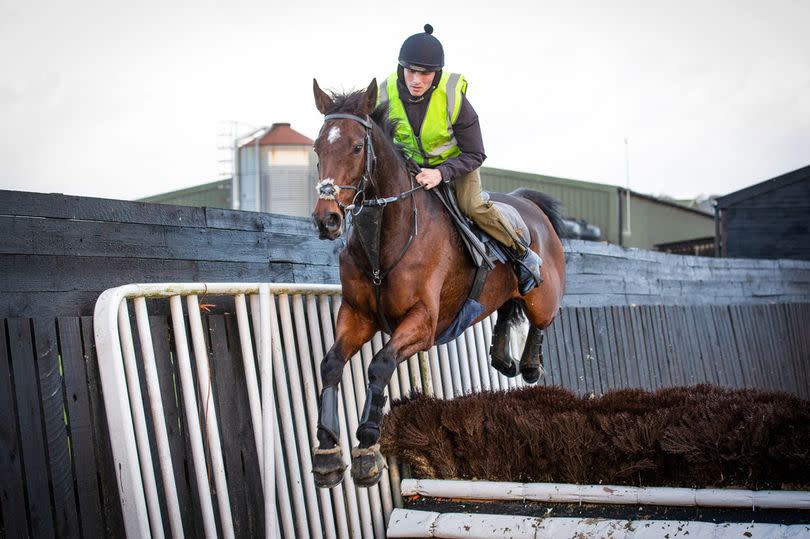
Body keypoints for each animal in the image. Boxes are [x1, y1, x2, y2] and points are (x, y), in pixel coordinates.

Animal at [310, 78, 568, 488]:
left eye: (356, 147)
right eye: (318, 147)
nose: (328, 219)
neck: (384, 240)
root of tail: (529, 204)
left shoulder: (423, 323)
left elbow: (380, 365)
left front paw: (367, 445)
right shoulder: (357, 314)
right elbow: (331, 364)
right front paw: (327, 450)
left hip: (544, 295)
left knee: (541, 319)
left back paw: (528, 364)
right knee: (507, 311)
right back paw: (502, 358)